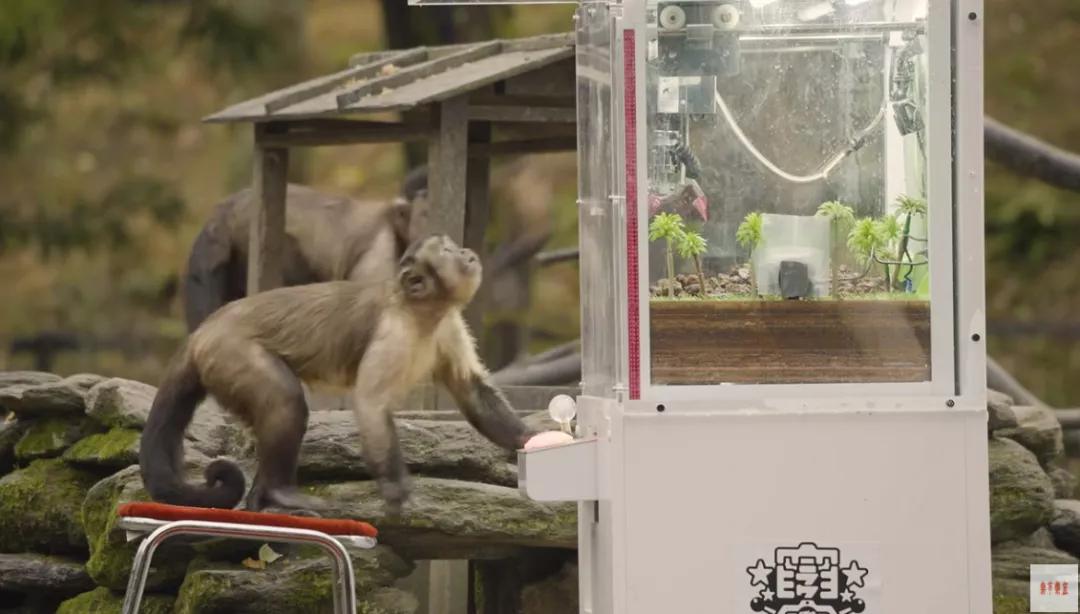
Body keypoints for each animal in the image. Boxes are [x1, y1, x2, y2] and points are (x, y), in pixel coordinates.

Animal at [140, 233, 540, 514]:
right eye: (448, 251)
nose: (467, 253)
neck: (420, 314)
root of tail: (202, 332)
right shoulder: (392, 331)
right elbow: (370, 401)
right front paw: (396, 490)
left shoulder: (449, 325)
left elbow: (472, 390)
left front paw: (534, 440)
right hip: (229, 353)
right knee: (285, 401)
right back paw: (278, 492)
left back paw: (261, 498)